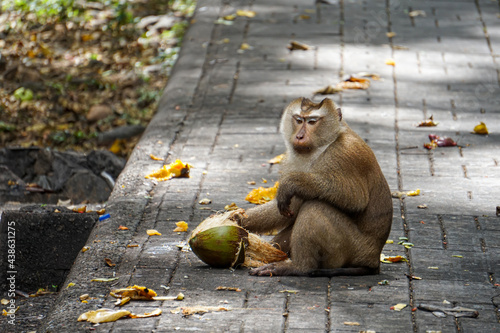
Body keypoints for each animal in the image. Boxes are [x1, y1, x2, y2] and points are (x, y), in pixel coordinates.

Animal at [240, 97, 392, 276]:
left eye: (312, 122)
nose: (299, 136)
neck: (324, 146)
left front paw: (292, 182)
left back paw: (298, 267)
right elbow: (290, 208)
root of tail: (374, 259)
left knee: (315, 207)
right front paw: (238, 219)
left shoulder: (345, 154)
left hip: (352, 249)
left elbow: (356, 199)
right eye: (299, 120)